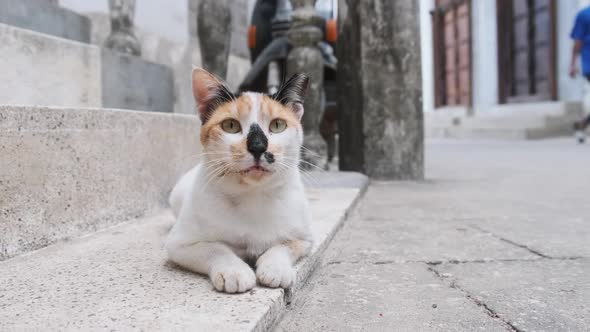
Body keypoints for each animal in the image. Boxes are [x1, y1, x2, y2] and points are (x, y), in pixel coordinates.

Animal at [166, 67, 314, 294]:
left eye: (277, 125)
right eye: (230, 125)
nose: (258, 146)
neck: (252, 197)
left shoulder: (304, 239)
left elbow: (283, 246)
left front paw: (275, 268)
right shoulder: (179, 244)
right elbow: (215, 248)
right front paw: (234, 272)